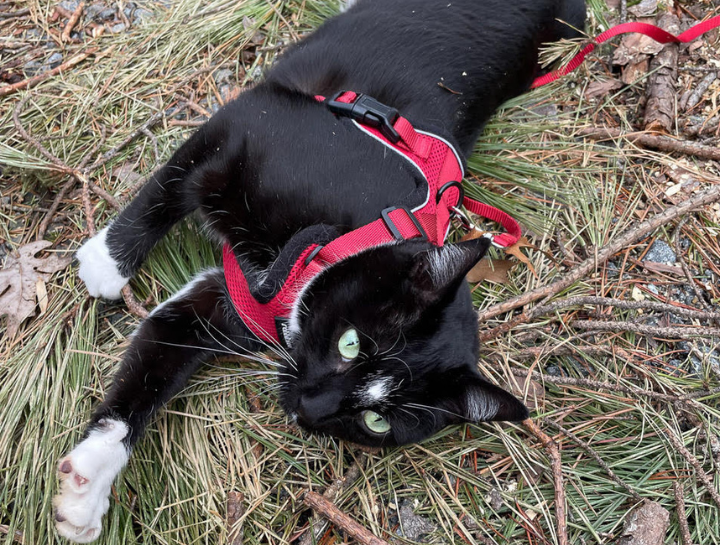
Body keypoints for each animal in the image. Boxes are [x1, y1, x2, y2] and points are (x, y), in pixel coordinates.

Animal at [54, 1, 584, 540]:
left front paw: (88, 483)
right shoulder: (252, 121)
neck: (335, 243)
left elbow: (154, 360)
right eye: (350, 344)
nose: (309, 408)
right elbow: (168, 186)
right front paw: (108, 261)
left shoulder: (228, 308)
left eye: (376, 422)